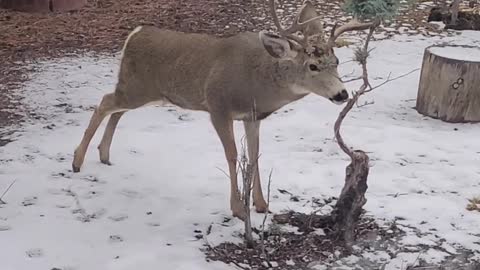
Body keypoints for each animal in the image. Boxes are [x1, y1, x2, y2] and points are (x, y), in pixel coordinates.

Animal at [73, 0, 376, 219]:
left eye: (337, 61)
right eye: (312, 66)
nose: (341, 93)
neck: (257, 85)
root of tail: (135, 34)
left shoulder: (252, 116)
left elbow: (253, 155)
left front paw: (261, 204)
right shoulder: (218, 106)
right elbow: (232, 156)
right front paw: (238, 209)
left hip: (144, 92)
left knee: (116, 108)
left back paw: (103, 154)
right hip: (137, 88)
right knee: (105, 102)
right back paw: (77, 161)